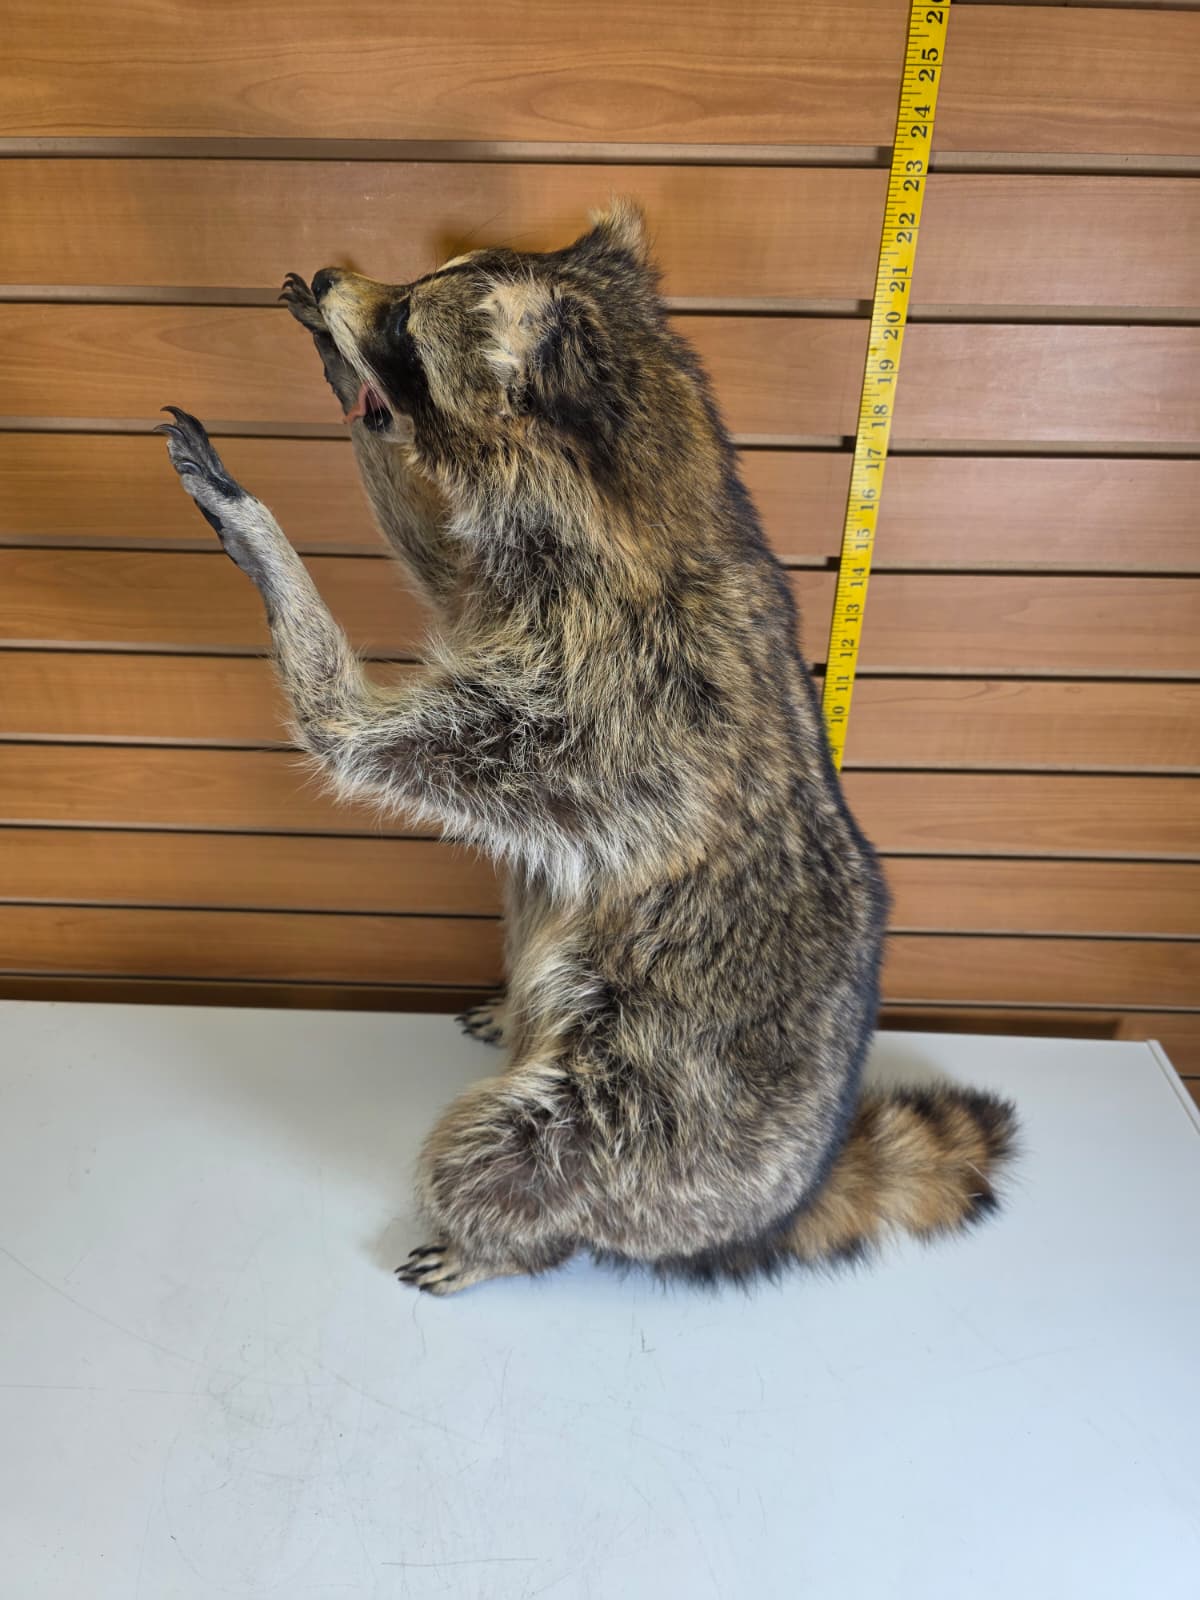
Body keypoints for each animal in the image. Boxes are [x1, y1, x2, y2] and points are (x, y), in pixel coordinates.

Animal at [158, 201, 1016, 1294]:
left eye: (407, 328)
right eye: (411, 287)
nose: (334, 282)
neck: (660, 501)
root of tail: (793, 1190)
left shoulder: (614, 701)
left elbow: (350, 733)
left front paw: (261, 535)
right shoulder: (517, 599)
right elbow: (440, 566)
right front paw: (338, 373)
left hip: (643, 1126)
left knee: (511, 1151)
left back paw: (497, 1241)